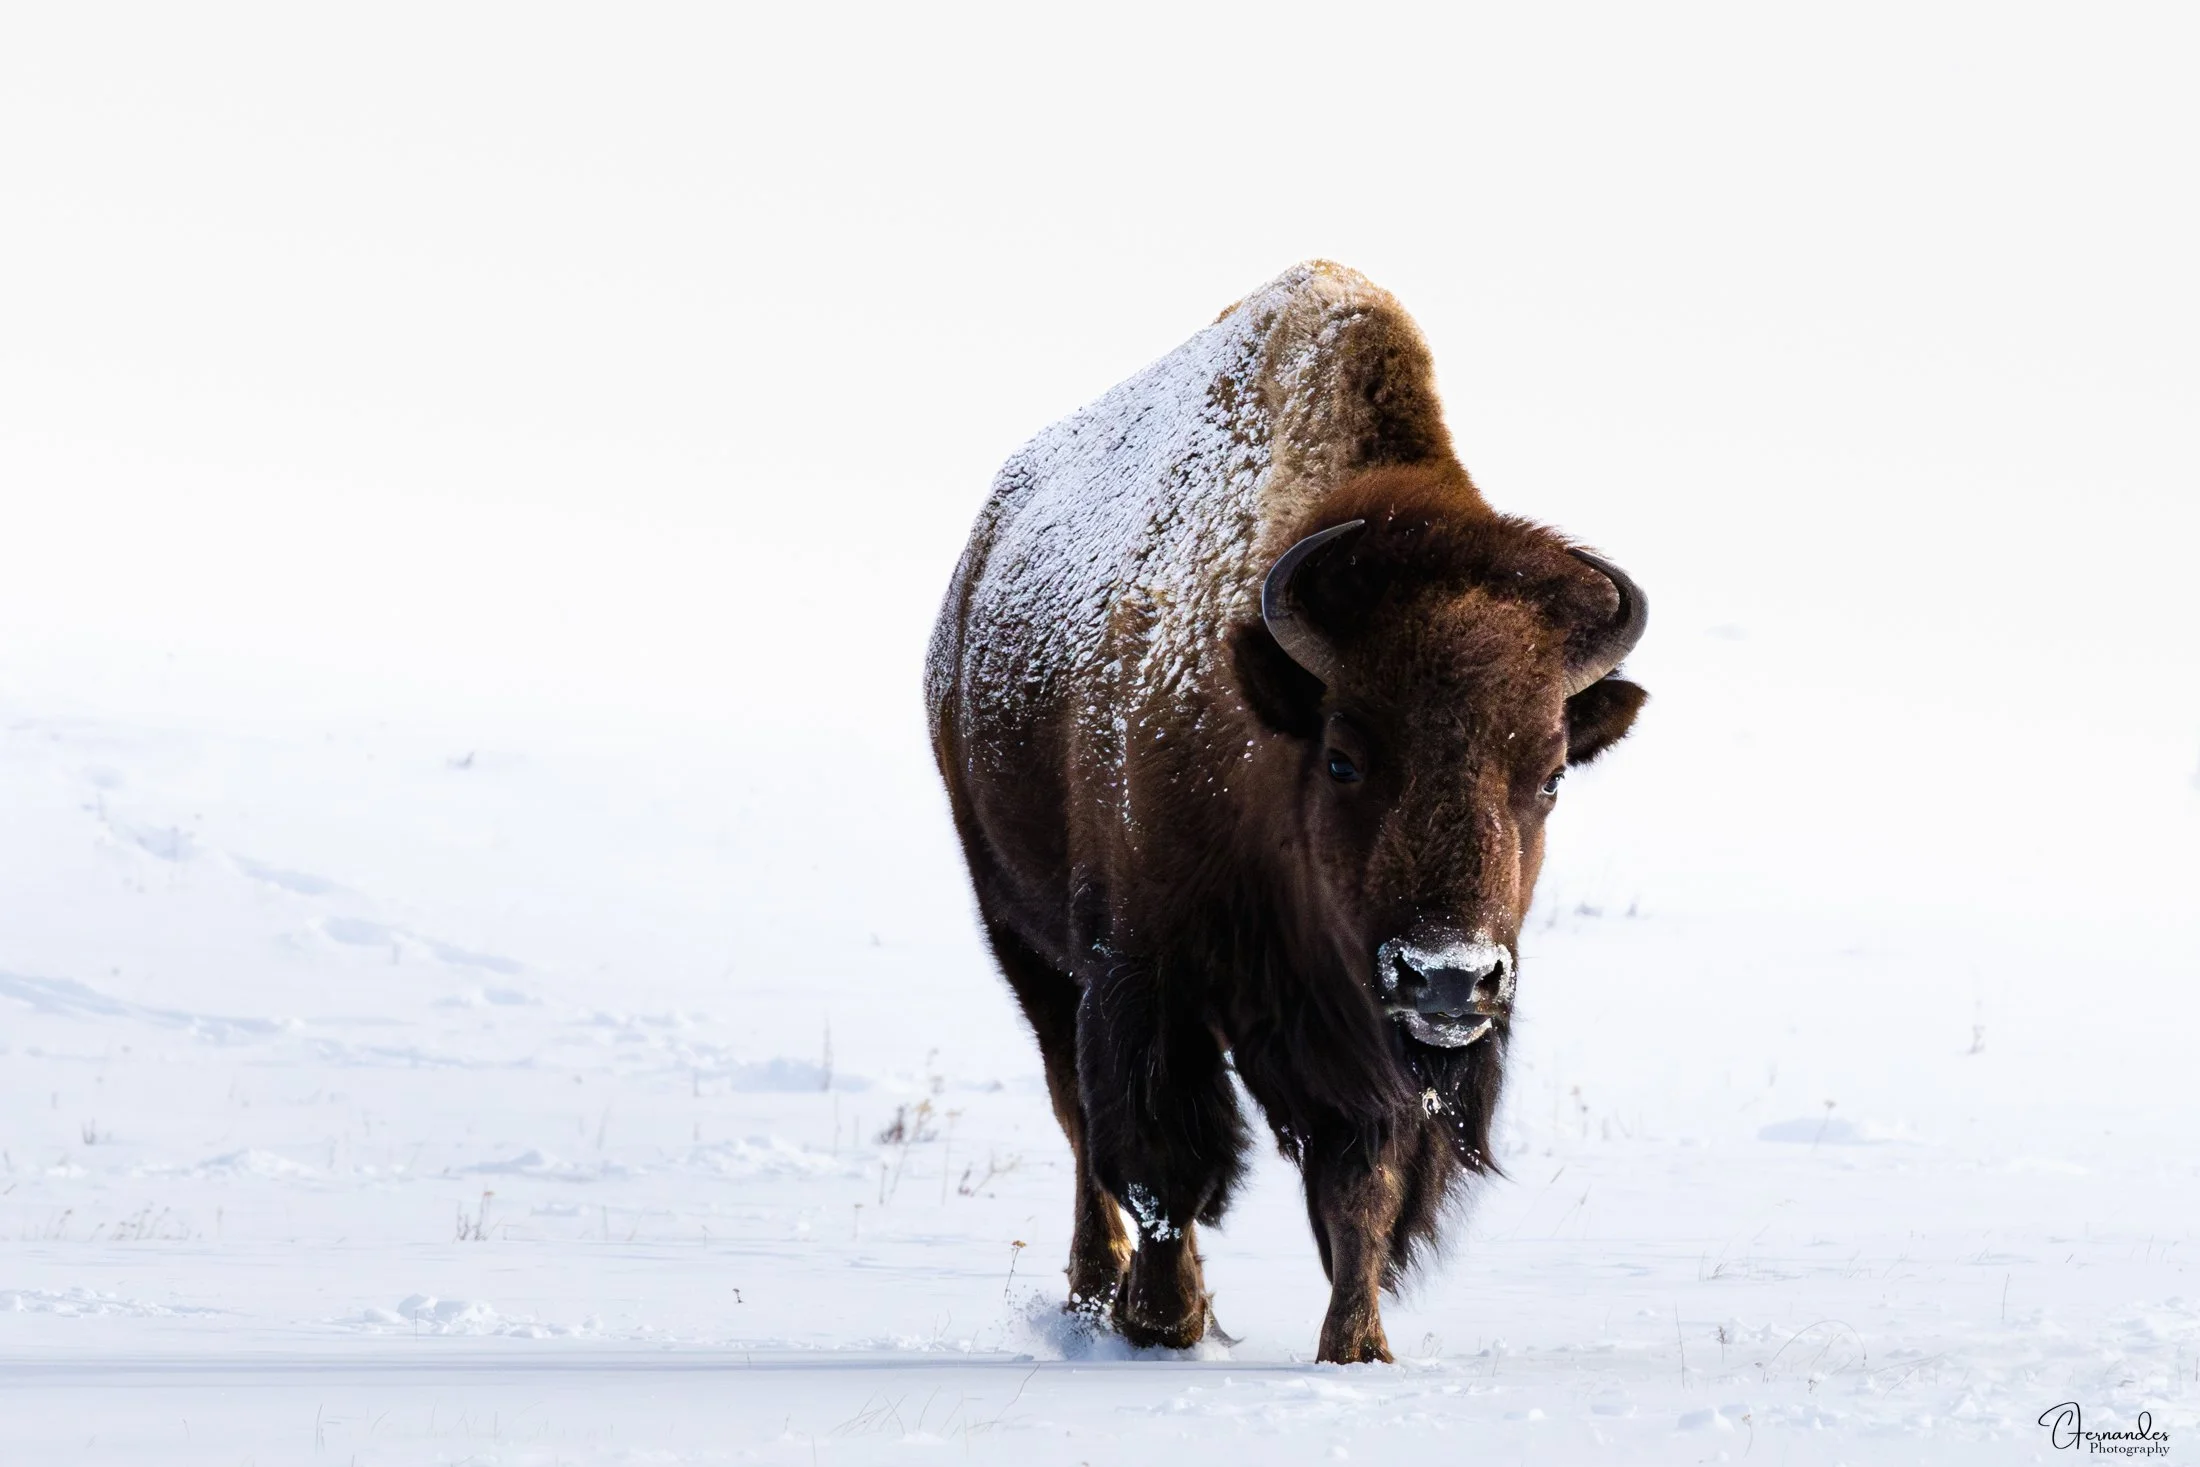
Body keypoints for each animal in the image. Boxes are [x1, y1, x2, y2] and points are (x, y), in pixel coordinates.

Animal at [925, 261, 1649, 1362]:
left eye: (1553, 774)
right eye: (1344, 757)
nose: (1450, 977)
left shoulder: (1361, 1047)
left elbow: (1363, 1186)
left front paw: (1357, 1348)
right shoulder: (1143, 975)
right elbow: (1162, 1161)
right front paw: (1163, 1320)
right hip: (1022, 936)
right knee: (1077, 1119)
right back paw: (1098, 1292)